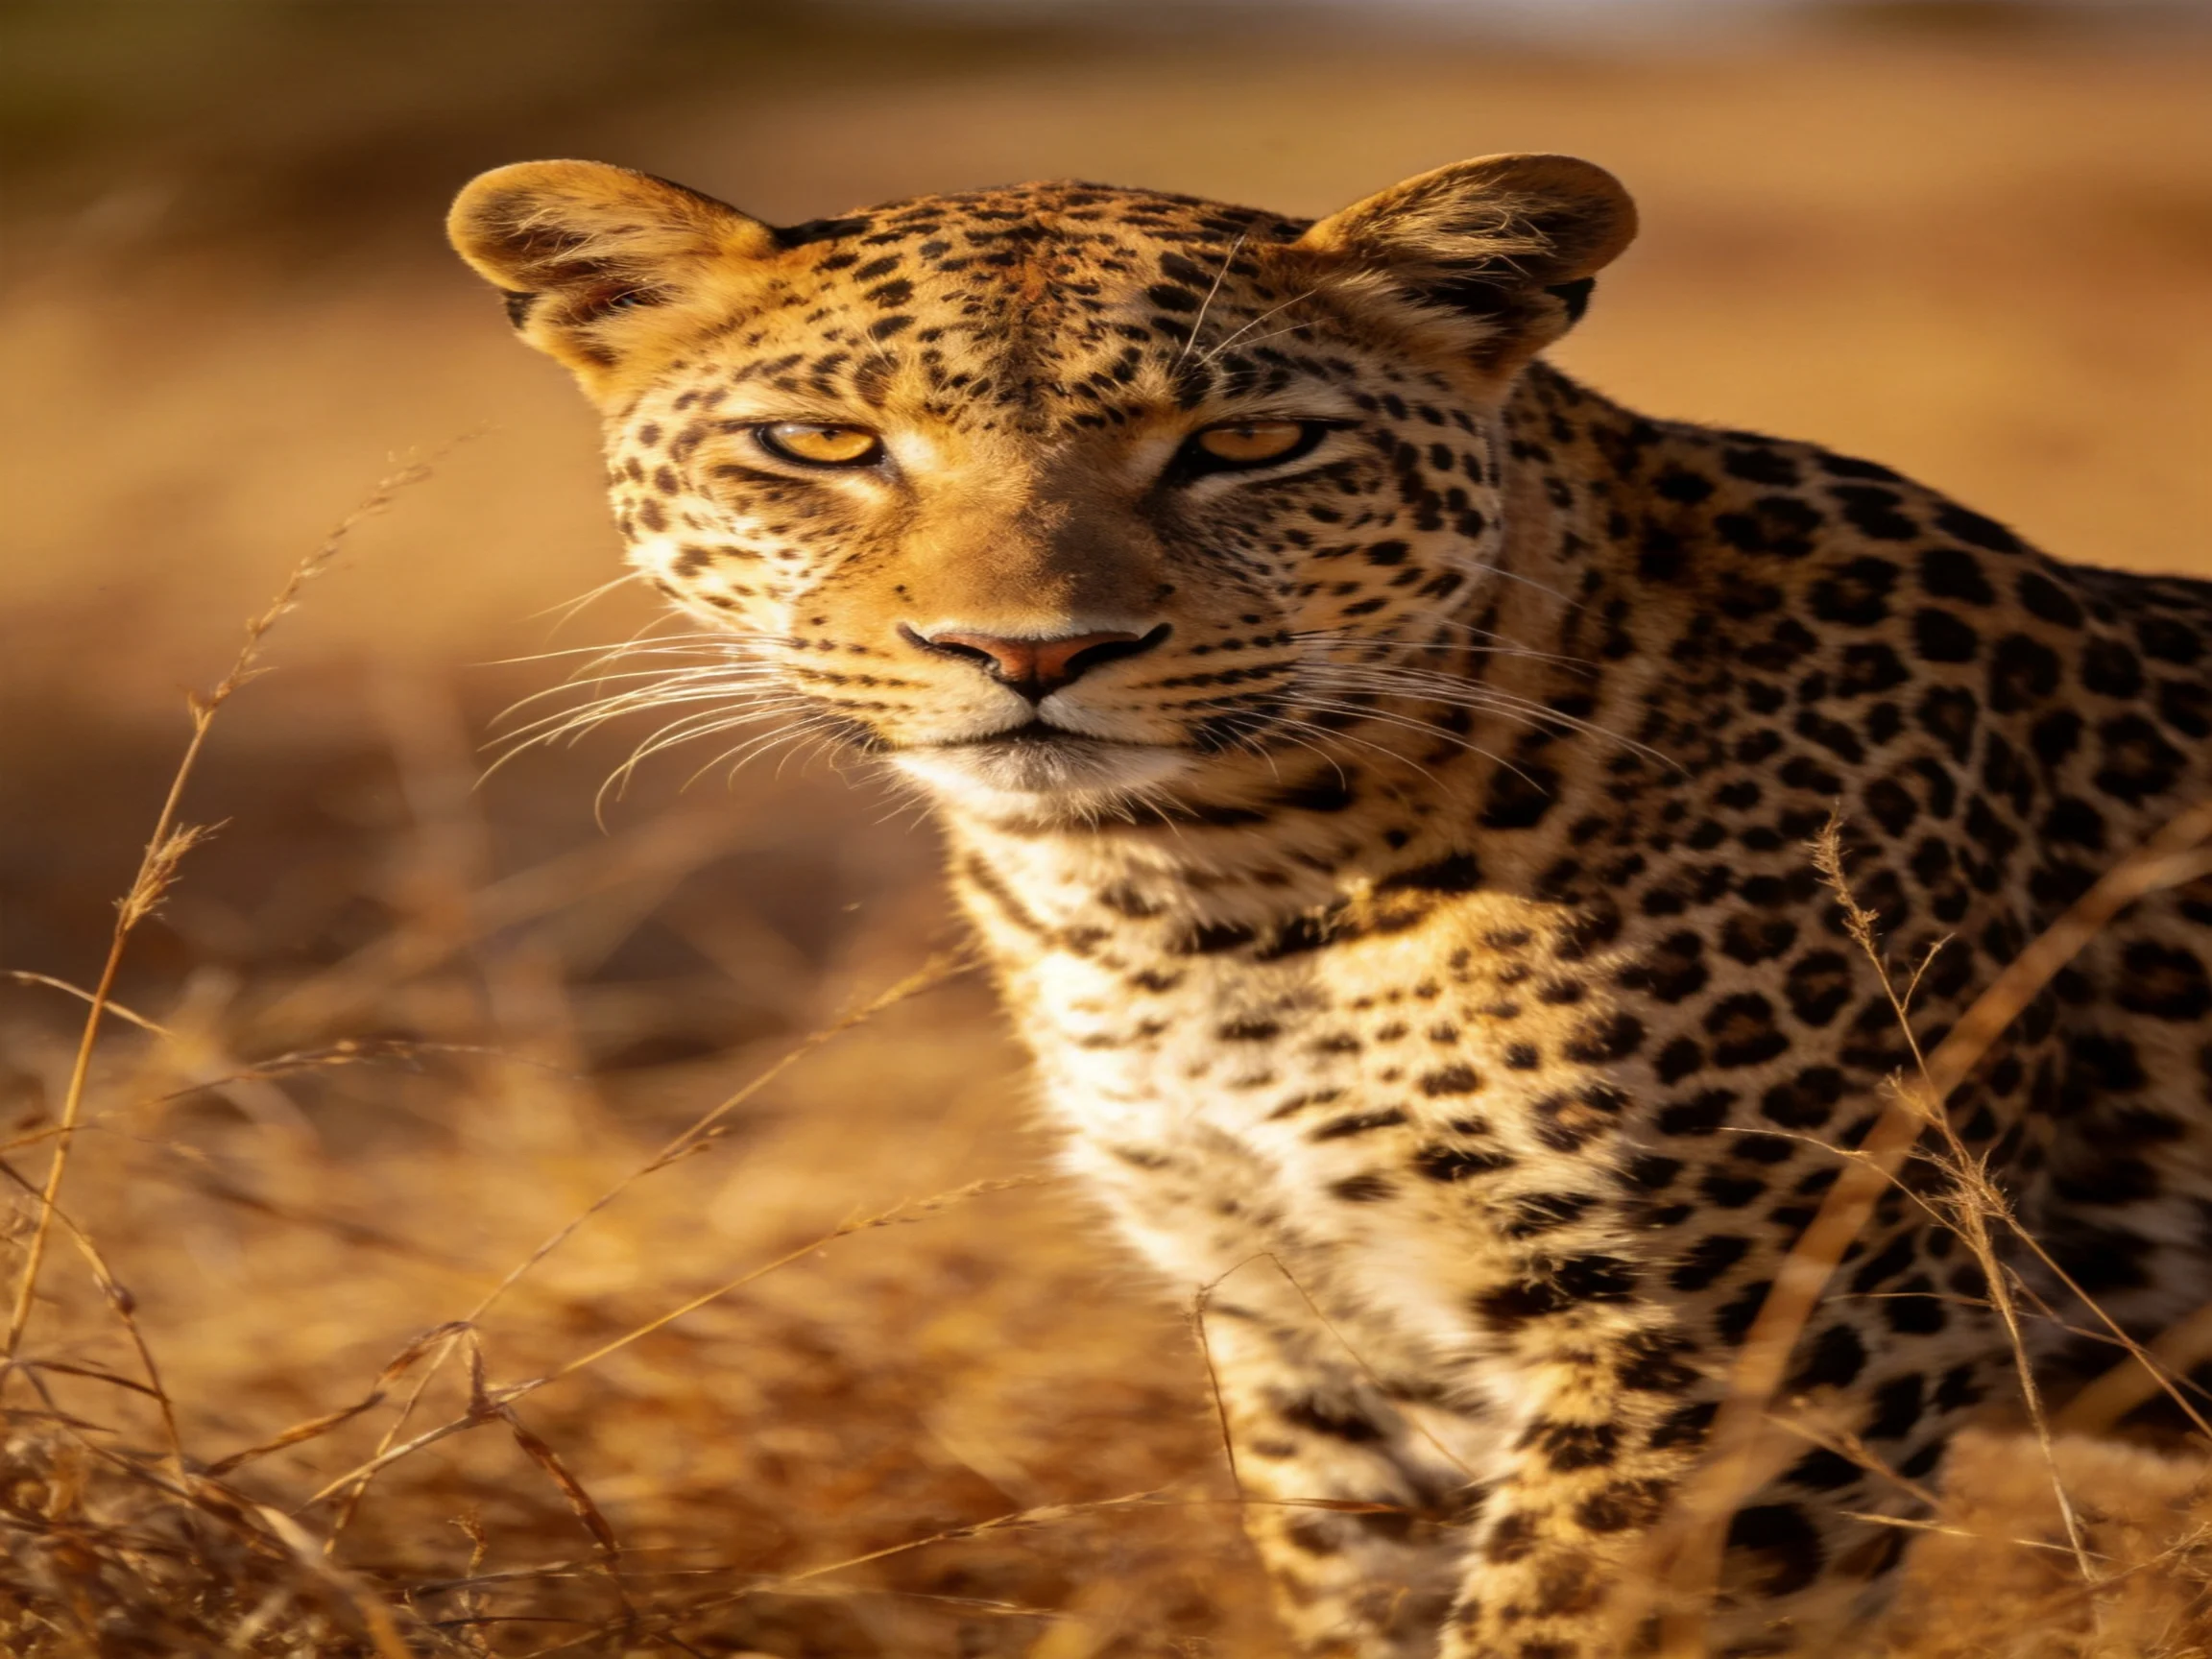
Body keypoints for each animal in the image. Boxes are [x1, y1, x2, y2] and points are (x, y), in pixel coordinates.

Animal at [446, 153, 2212, 1657]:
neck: (1203, 901)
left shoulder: (1765, 1336)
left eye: (1243, 445)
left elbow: (1560, 1624)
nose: (1030, 650)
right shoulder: (1315, 1333)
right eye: (819, 444)